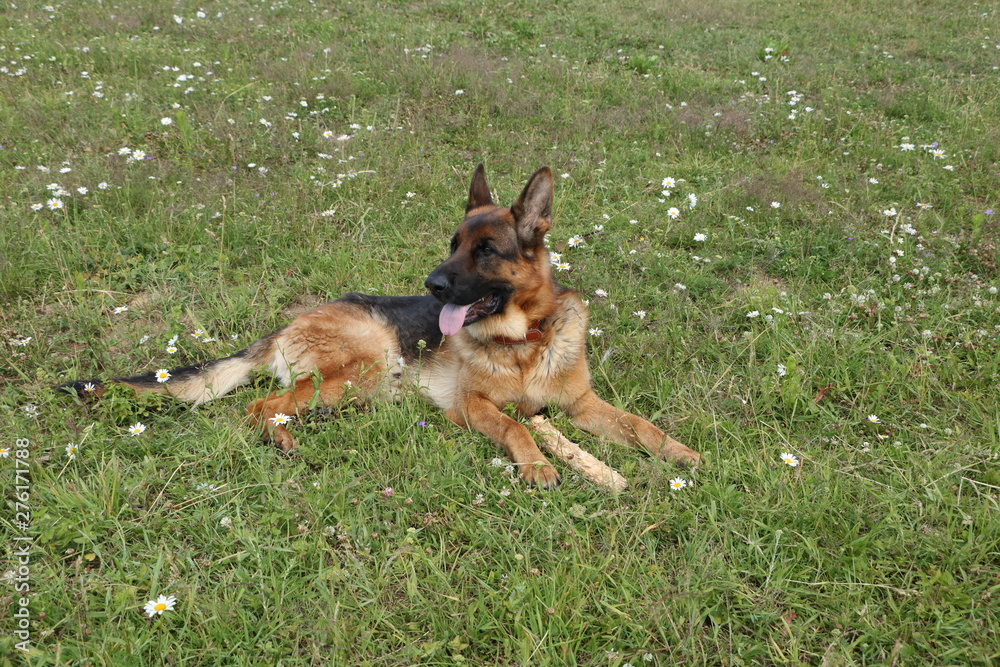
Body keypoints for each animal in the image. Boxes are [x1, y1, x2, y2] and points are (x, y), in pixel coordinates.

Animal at [66, 166, 700, 490]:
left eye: (486, 251)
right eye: (452, 244)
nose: (432, 284)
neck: (524, 339)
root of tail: (290, 323)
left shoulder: (581, 405)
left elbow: (639, 426)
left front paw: (681, 453)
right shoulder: (473, 409)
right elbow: (517, 428)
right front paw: (539, 465)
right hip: (365, 365)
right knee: (258, 406)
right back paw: (284, 439)